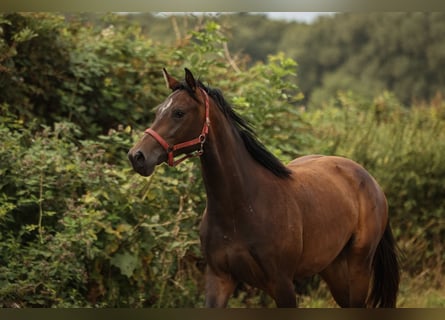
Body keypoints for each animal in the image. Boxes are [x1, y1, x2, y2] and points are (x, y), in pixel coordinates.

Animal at [127, 68, 398, 308]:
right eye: (158, 111)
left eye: (179, 113)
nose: (137, 156)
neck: (242, 206)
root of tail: (370, 180)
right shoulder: (219, 279)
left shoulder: (282, 284)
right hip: (333, 269)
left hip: (359, 267)